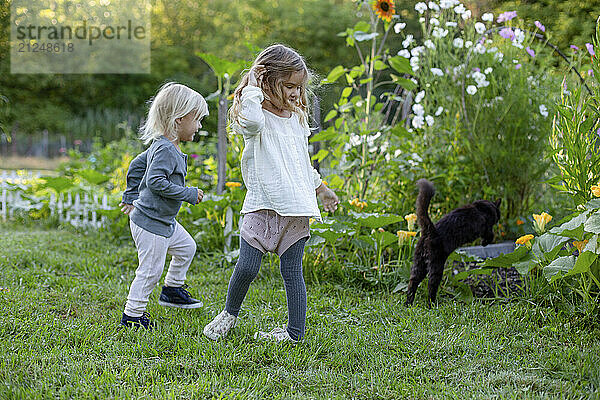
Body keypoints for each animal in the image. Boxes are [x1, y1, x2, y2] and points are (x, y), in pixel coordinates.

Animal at [404, 178, 502, 306]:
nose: (499, 217)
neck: (484, 207)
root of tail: (430, 231)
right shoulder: (486, 227)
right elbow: (490, 234)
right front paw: (485, 243)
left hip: (419, 263)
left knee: (412, 283)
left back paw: (408, 304)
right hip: (436, 264)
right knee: (431, 286)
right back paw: (432, 304)